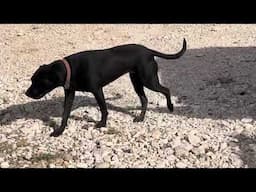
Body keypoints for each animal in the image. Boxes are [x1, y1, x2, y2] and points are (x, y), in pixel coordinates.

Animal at [25, 38, 186, 136]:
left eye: (38, 81)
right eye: (32, 80)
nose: (26, 93)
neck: (71, 68)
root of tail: (148, 51)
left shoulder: (97, 90)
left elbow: (103, 109)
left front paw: (102, 124)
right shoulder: (70, 93)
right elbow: (65, 114)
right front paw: (60, 130)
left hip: (148, 80)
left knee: (166, 90)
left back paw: (170, 107)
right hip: (136, 81)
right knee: (144, 99)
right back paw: (140, 118)